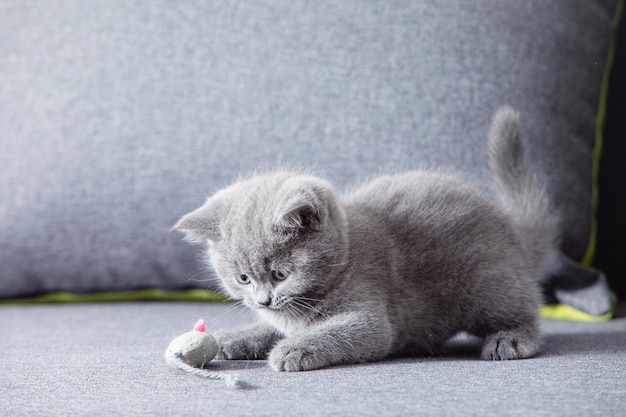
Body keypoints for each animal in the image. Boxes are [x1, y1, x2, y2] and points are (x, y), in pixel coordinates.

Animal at [177, 107, 556, 370]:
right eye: (243, 278)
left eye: (280, 274)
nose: (263, 301)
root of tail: (510, 226)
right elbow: (272, 329)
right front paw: (233, 338)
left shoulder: (371, 320)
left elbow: (338, 332)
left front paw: (291, 350)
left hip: (485, 284)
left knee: (525, 309)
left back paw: (510, 339)